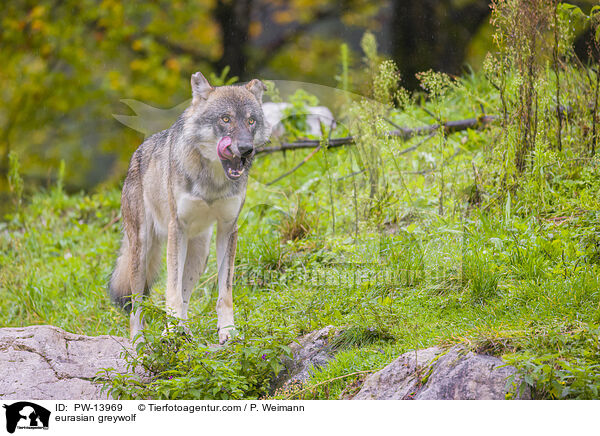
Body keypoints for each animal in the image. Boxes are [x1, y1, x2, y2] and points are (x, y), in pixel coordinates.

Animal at [109, 72, 268, 344]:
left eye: (251, 121)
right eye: (225, 119)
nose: (246, 149)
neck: (212, 180)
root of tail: (136, 154)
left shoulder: (228, 229)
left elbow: (224, 292)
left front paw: (227, 331)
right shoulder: (177, 228)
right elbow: (170, 289)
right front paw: (170, 333)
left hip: (200, 253)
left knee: (185, 295)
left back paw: (183, 330)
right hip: (142, 249)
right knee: (136, 306)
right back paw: (140, 342)